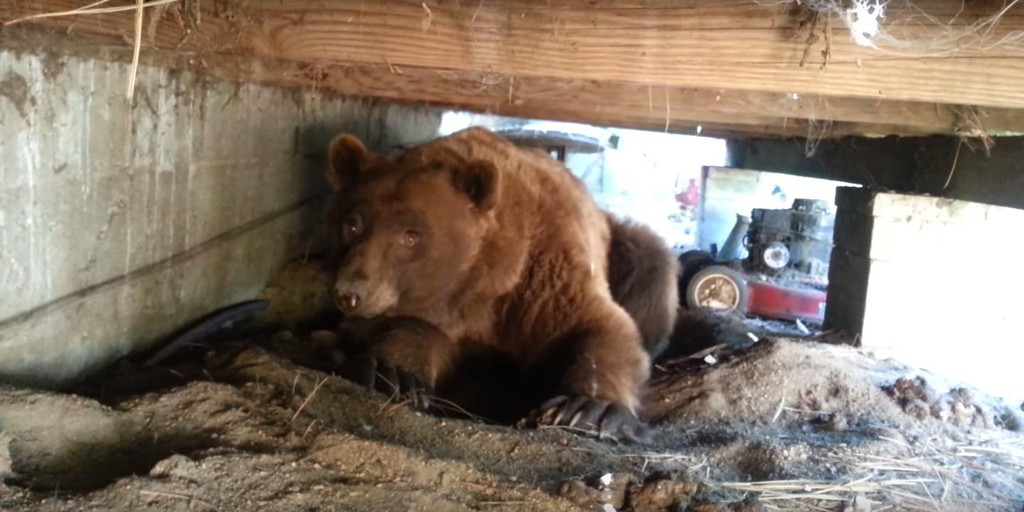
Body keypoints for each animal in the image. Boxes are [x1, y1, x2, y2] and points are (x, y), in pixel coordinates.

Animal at [324, 127, 678, 442]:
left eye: (411, 235)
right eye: (351, 224)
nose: (350, 294)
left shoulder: (547, 277)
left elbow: (600, 328)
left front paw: (587, 408)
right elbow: (410, 331)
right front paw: (393, 374)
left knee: (651, 265)